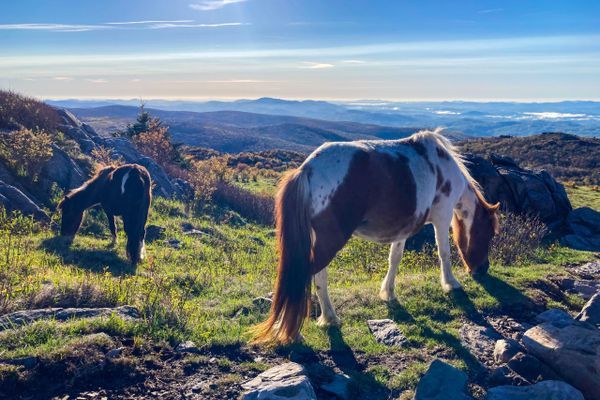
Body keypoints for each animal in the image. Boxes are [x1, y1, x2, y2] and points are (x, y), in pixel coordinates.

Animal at [251, 130, 500, 346]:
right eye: (488, 233)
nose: (483, 269)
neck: (442, 166)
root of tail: (307, 169)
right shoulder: (442, 216)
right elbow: (444, 252)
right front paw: (450, 284)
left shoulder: (402, 229)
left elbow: (394, 259)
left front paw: (388, 292)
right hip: (330, 241)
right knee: (307, 275)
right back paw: (297, 332)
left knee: (316, 276)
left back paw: (327, 318)